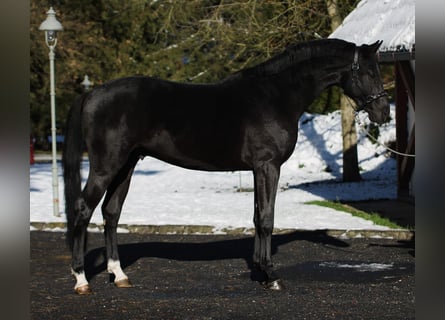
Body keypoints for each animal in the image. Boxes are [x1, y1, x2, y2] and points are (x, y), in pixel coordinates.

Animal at [63, 38, 388, 294]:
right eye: (370, 72)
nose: (383, 112)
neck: (276, 95)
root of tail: (92, 93)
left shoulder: (258, 169)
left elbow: (257, 217)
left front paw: (260, 271)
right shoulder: (268, 166)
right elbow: (267, 218)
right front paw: (272, 276)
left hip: (126, 166)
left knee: (111, 213)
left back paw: (119, 275)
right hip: (106, 167)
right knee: (83, 209)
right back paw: (81, 280)